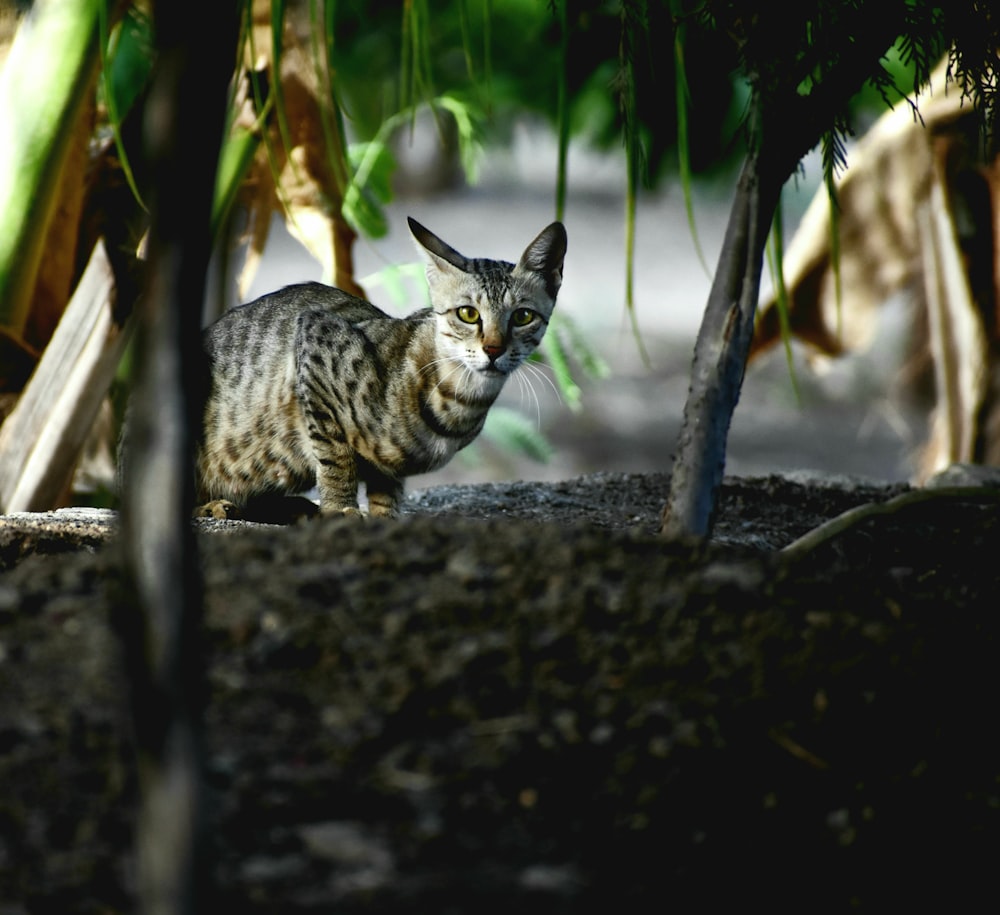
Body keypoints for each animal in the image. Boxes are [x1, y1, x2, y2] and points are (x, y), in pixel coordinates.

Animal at [194, 212, 568, 520]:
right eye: (468, 314)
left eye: (523, 317)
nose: (493, 348)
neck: (459, 403)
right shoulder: (315, 338)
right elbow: (335, 456)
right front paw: (340, 507)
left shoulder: (390, 465)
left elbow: (386, 489)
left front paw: (383, 518)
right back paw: (217, 506)